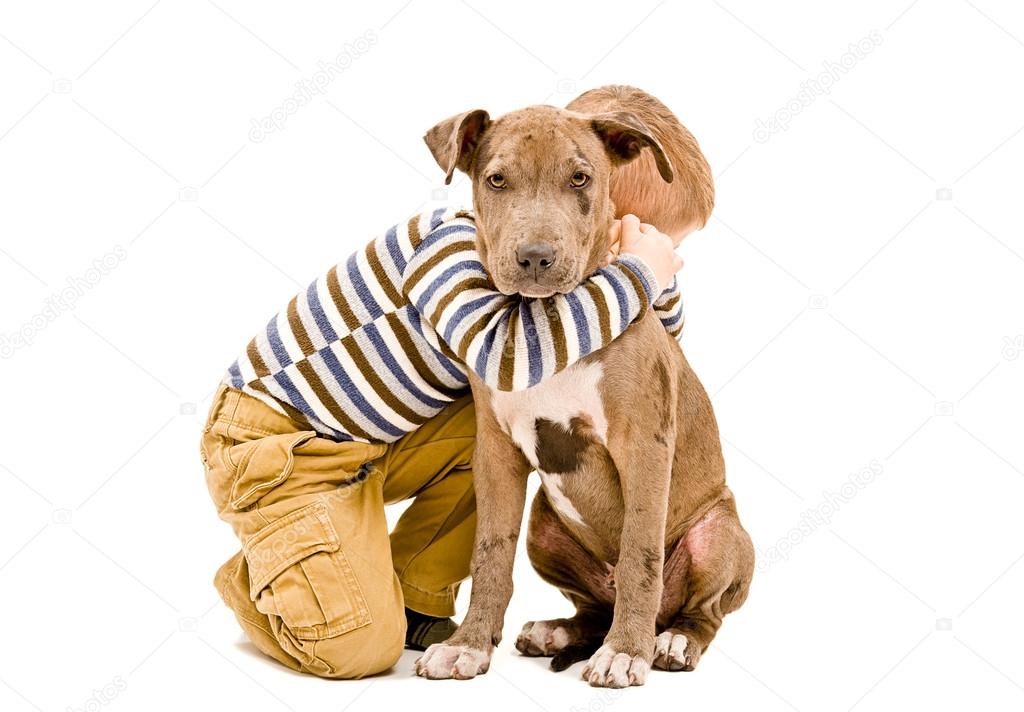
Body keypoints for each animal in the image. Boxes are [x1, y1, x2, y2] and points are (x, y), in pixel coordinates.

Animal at [409, 86, 753, 688]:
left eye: (580, 178)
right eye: (496, 179)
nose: (535, 258)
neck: (545, 324)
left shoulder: (644, 446)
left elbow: (641, 552)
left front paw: (625, 653)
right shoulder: (494, 452)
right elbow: (489, 554)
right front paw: (468, 645)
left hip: (719, 534)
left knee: (700, 611)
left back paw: (670, 641)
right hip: (544, 526)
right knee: (592, 607)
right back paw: (559, 631)